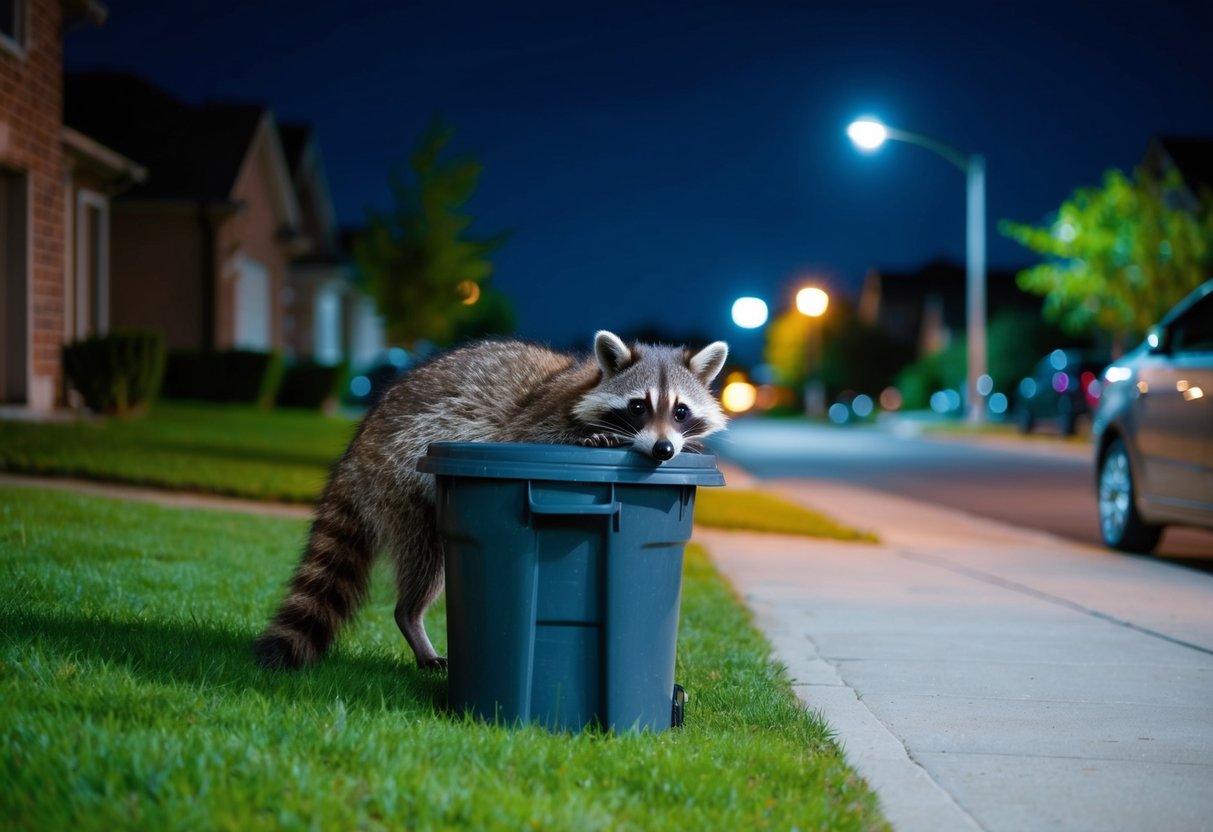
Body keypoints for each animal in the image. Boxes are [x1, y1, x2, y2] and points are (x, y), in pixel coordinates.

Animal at [254, 330, 729, 670]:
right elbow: (531, 434)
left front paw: (690, 445)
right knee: (426, 560)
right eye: (637, 407)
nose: (663, 451)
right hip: (400, 477)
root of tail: (357, 451)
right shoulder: (540, 415)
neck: (589, 381)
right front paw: (596, 439)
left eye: (681, 411)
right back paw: (411, 616)